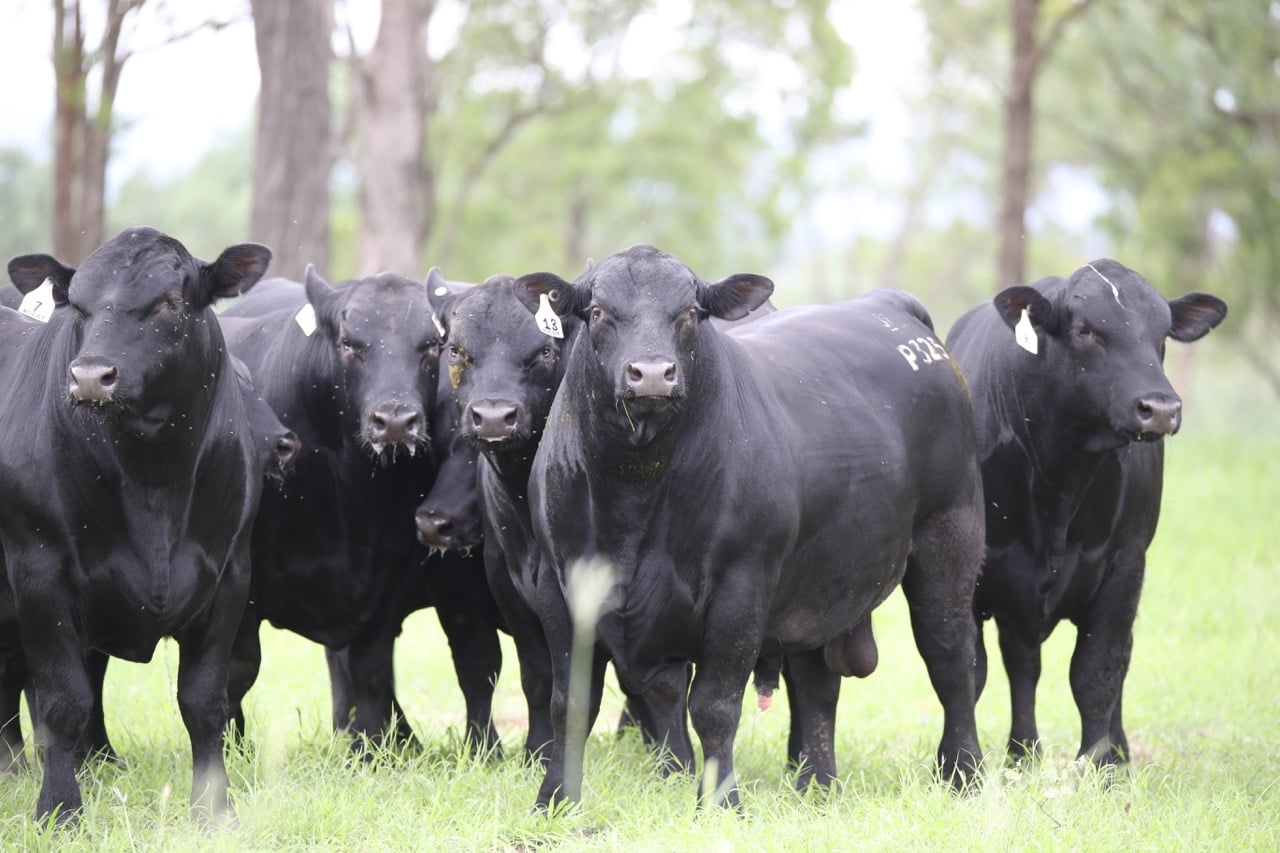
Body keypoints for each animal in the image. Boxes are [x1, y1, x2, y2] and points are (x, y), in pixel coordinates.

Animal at [0, 227, 270, 824]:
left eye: (169, 302)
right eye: (78, 306)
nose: (91, 376)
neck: (155, 479)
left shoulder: (231, 574)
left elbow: (204, 701)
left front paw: (213, 811)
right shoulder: (38, 570)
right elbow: (63, 700)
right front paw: (60, 811)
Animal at [218, 265, 503, 754]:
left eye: (431, 345)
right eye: (350, 343)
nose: (395, 421)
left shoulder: (389, 586)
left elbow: (373, 669)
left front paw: (372, 750)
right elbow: (238, 669)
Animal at [517, 244, 985, 810]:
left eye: (690, 313)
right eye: (600, 311)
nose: (651, 374)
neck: (633, 491)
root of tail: (890, 306)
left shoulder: (741, 588)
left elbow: (714, 706)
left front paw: (720, 803)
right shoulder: (558, 585)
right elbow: (573, 702)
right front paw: (555, 800)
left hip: (949, 535)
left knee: (950, 657)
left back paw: (964, 773)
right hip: (820, 580)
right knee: (817, 684)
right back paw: (816, 785)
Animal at [945, 259, 1227, 767]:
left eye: (1162, 333)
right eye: (1086, 330)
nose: (1160, 408)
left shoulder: (1125, 564)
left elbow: (1097, 671)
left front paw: (1103, 765)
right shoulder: (976, 568)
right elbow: (975, 670)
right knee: (1022, 664)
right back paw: (1023, 754)